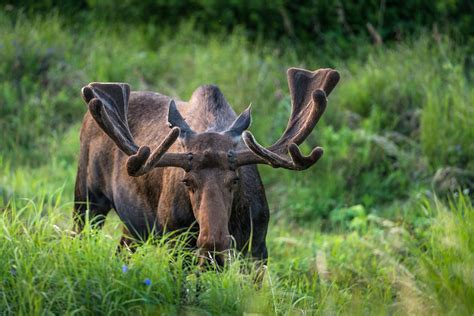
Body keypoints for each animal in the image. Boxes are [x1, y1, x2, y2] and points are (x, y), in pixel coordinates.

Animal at [74, 67, 338, 264]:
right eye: (187, 181)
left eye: (235, 179)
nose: (213, 241)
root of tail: (87, 117)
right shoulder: (178, 245)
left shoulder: (257, 249)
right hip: (87, 198)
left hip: (134, 228)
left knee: (122, 252)